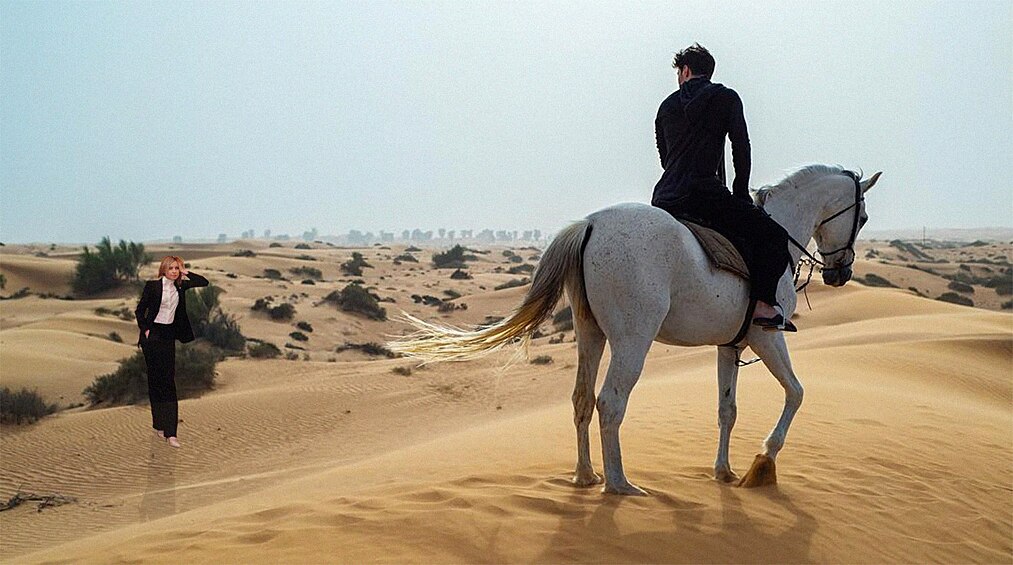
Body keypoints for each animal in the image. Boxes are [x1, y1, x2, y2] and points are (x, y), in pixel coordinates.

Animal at [391, 165, 883, 496]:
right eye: (861, 219)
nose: (841, 273)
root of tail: (590, 223)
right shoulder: (767, 335)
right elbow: (796, 393)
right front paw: (762, 463)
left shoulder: (730, 345)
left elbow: (727, 409)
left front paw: (723, 471)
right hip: (633, 339)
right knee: (610, 402)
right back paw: (619, 484)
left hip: (591, 334)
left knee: (581, 399)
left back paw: (586, 475)